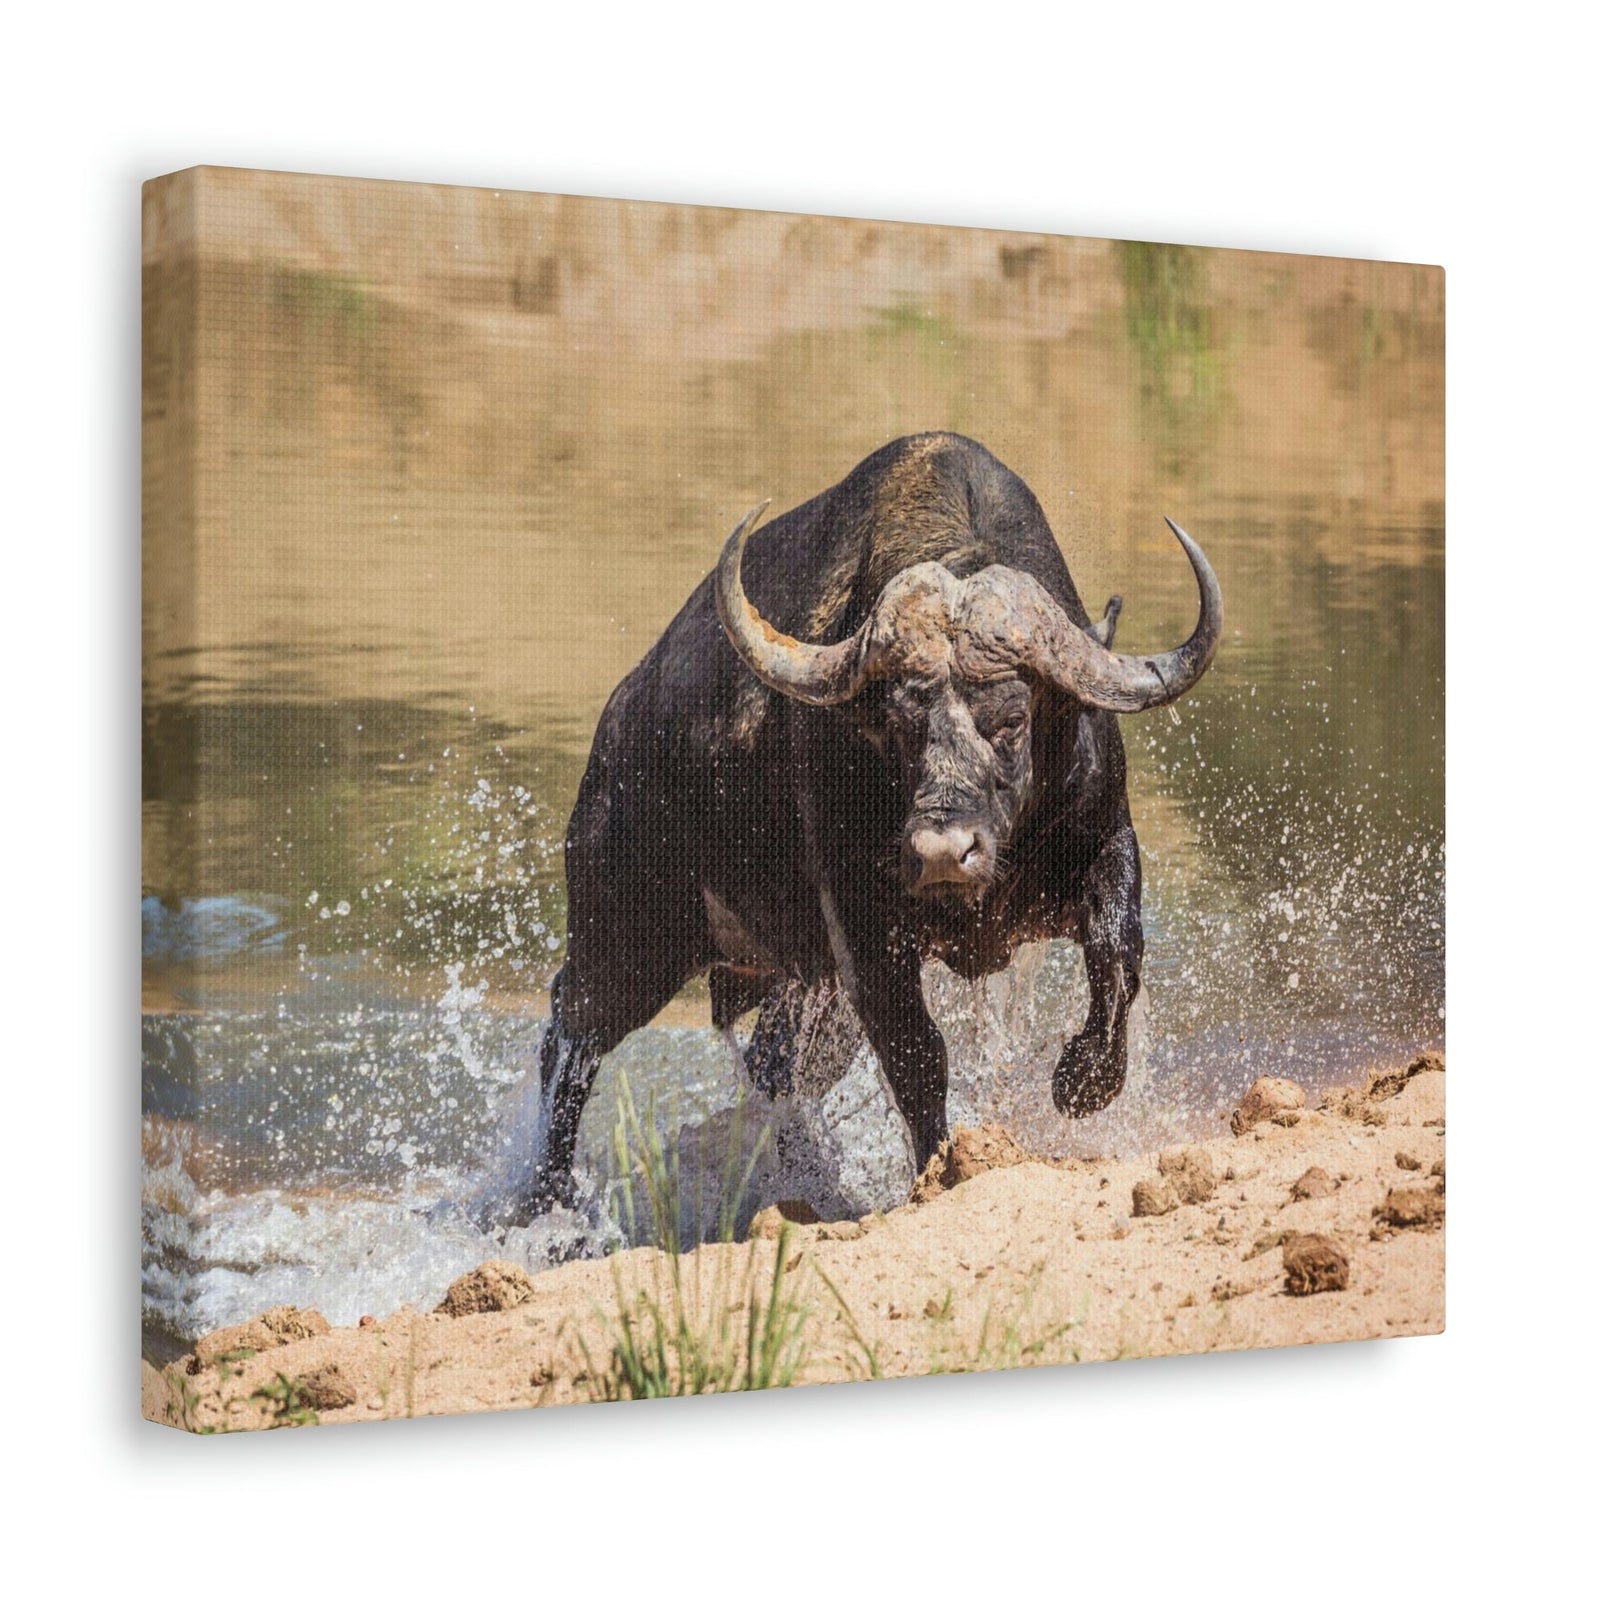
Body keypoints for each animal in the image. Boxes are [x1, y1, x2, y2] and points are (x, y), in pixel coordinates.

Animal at [495, 432, 1220, 1223]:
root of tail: (619, 725)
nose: (943, 854)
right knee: (571, 1036)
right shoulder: (863, 929)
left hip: (793, 982)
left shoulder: (1104, 844)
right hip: (628, 938)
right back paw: (548, 1203)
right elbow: (917, 1055)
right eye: (898, 726)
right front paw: (942, 1168)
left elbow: (1119, 955)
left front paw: (1083, 1082)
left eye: (1011, 719)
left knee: (773, 1068)